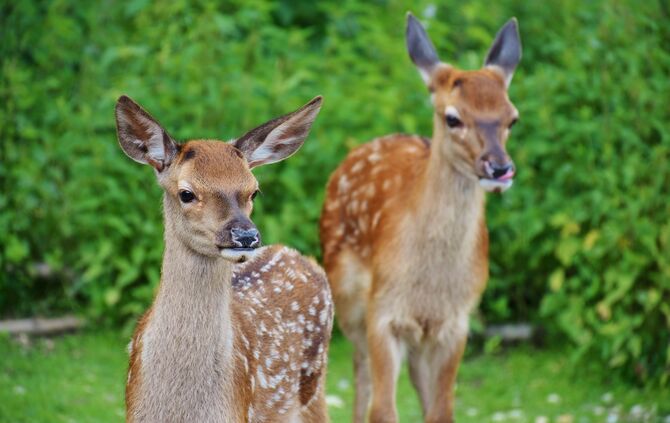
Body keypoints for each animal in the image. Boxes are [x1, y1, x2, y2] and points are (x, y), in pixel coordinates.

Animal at [319, 13, 522, 423]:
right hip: (347, 298)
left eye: (512, 118)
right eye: (453, 118)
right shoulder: (383, 312)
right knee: (361, 375)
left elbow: (442, 409)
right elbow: (382, 409)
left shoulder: (456, 322)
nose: (499, 168)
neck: (429, 285)